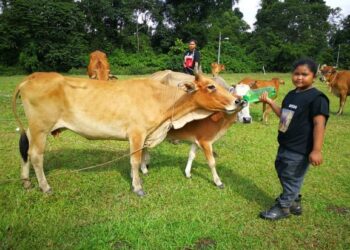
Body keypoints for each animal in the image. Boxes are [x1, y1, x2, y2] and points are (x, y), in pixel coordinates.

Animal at [11, 72, 241, 195]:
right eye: (211, 86)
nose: (238, 101)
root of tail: (31, 78)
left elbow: (139, 161)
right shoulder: (137, 133)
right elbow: (134, 160)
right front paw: (138, 187)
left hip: (34, 129)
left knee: (25, 151)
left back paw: (26, 181)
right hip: (40, 128)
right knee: (36, 156)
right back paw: (45, 186)